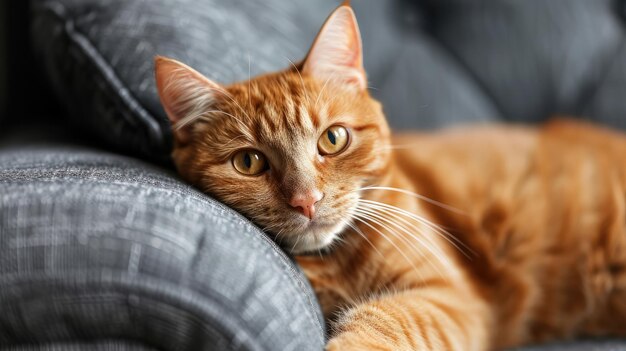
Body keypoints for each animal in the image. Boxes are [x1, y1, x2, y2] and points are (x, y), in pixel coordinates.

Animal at [154, 3, 624, 351]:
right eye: (249, 163)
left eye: (333, 139)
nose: (306, 200)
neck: (338, 262)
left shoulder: (447, 296)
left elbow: (385, 318)